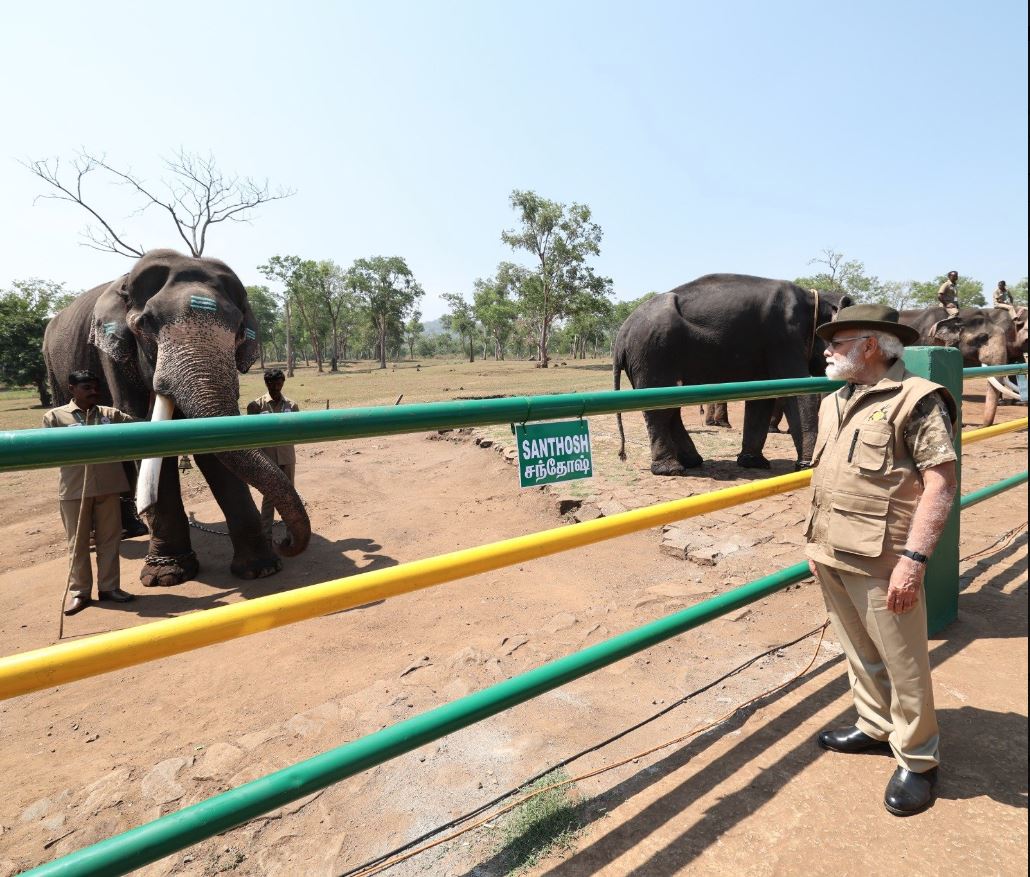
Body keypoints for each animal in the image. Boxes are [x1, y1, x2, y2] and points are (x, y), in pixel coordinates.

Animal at [44, 250, 309, 585]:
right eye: (145, 323)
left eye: (238, 329)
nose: (285, 541)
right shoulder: (113, 355)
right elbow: (142, 430)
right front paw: (166, 575)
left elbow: (214, 446)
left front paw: (261, 568)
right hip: (53, 367)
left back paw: (134, 529)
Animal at [609, 276, 852, 476]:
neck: (815, 297)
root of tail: (621, 335)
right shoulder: (784, 338)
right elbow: (797, 392)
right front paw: (807, 467)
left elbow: (762, 397)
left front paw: (753, 463)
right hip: (653, 351)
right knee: (660, 407)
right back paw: (671, 469)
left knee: (669, 405)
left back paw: (692, 461)